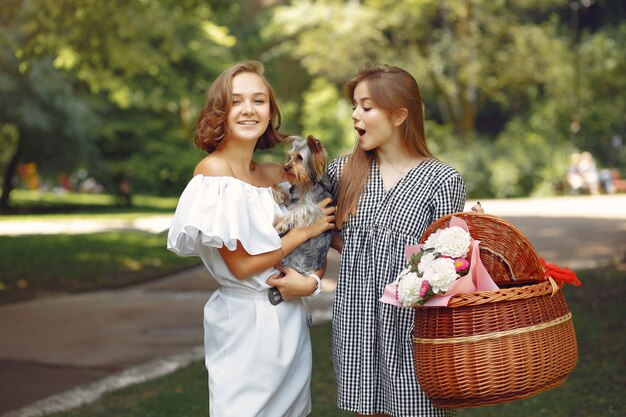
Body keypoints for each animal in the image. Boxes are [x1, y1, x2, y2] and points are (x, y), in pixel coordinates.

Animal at [272, 135, 334, 274]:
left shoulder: (313, 207)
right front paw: (277, 194)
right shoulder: (292, 197)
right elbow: (279, 187)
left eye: (300, 157)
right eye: (290, 157)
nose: (286, 167)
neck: (304, 185)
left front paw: (281, 224)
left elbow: (298, 210)